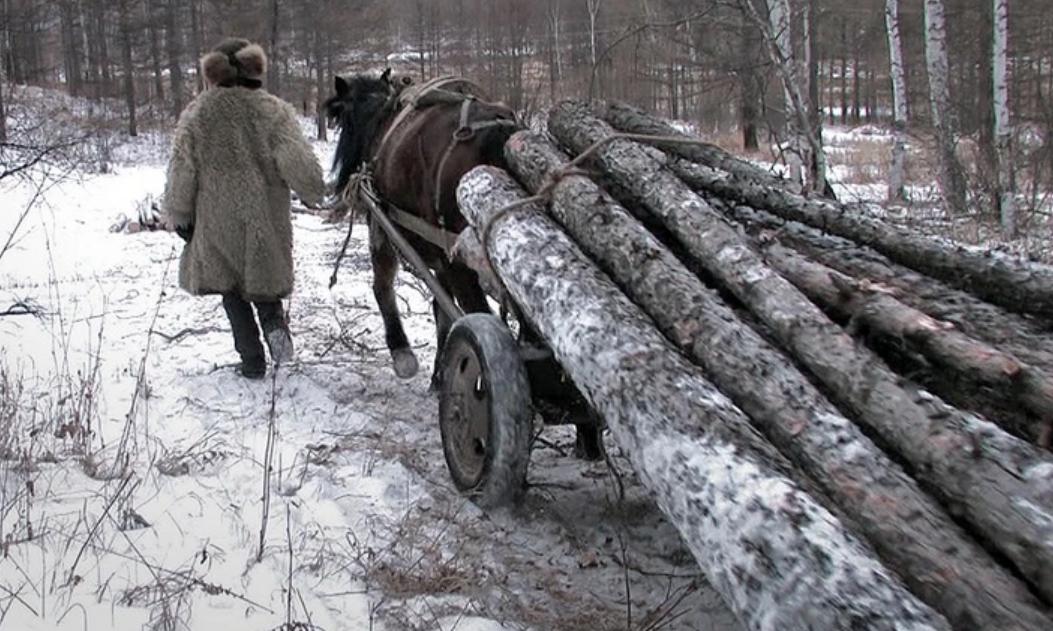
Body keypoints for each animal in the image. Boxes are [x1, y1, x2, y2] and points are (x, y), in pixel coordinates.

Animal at [320, 68, 518, 385]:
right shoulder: (437, 260)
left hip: (457, 259)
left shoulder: (381, 224)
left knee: (480, 315)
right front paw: (439, 372)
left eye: (341, 116)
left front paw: (402, 352)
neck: (379, 120)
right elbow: (440, 309)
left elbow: (383, 286)